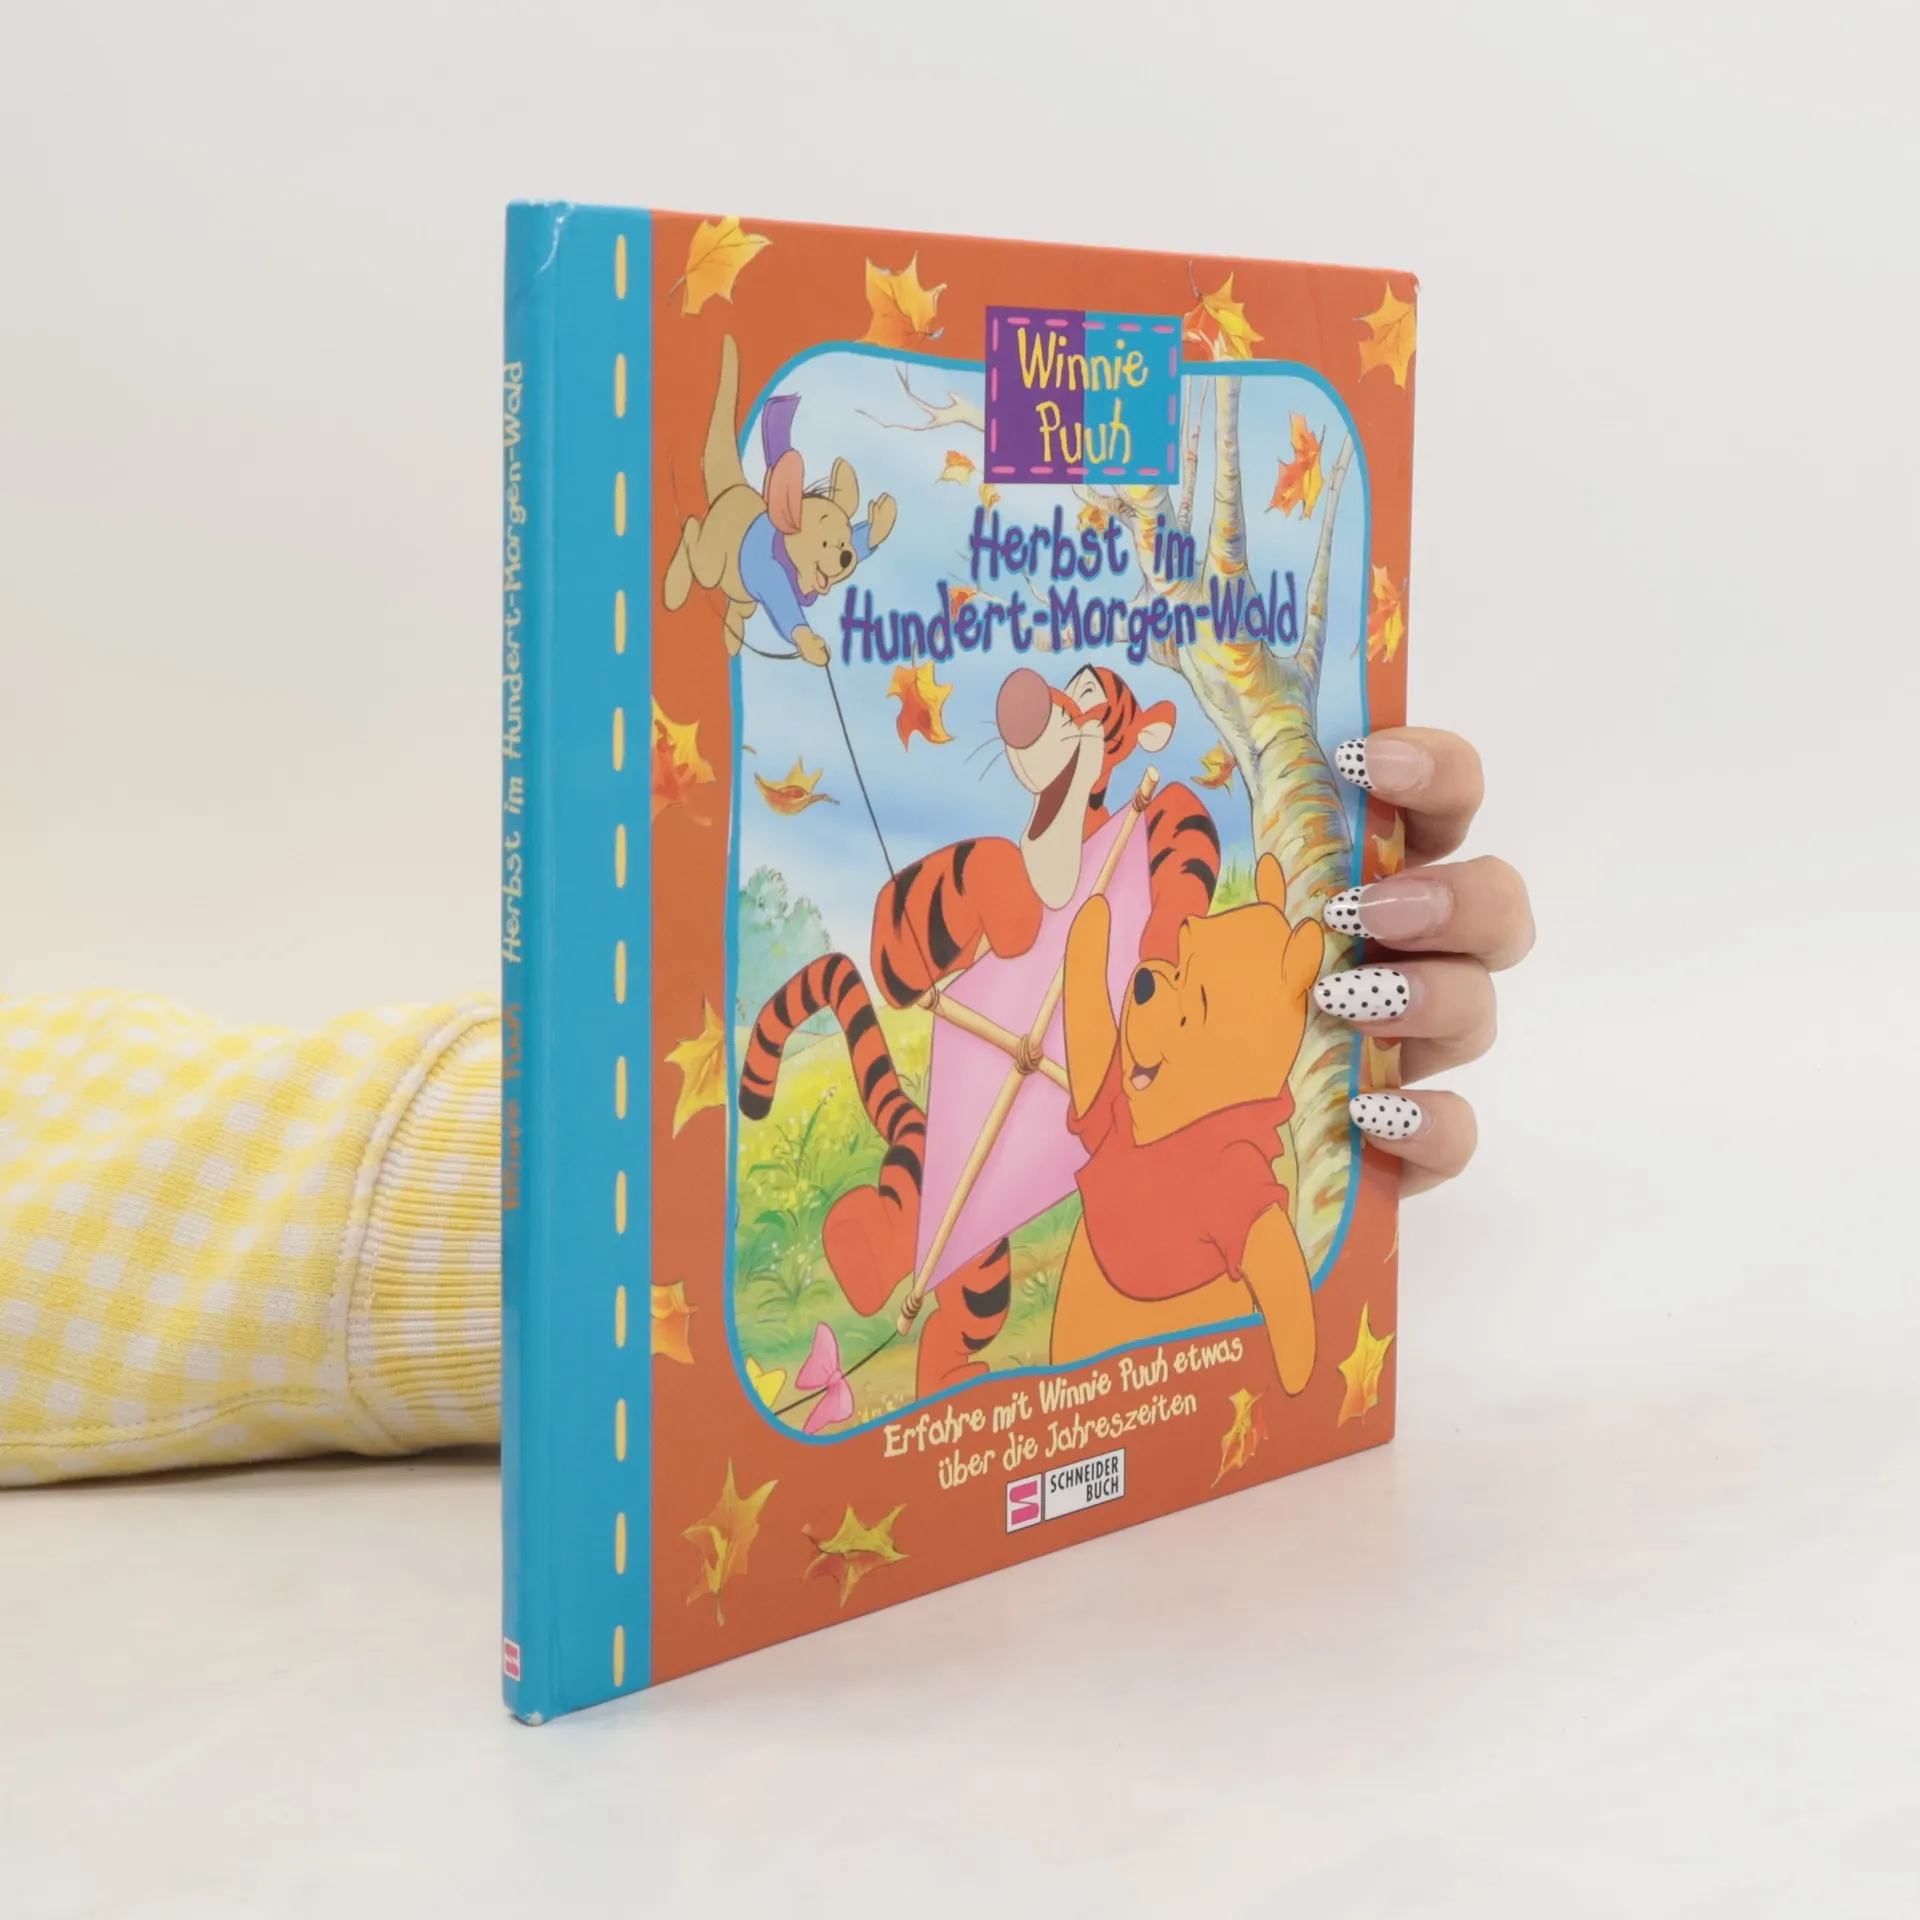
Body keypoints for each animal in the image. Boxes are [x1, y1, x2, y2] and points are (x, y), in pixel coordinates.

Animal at [662, 335, 895, 663]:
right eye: (825, 543)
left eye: (845, 541)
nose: (846, 557)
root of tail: (739, 490)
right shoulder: (771, 574)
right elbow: (785, 610)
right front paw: (808, 643)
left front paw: (880, 523)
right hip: (715, 554)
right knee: (696, 534)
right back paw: (674, 588)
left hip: (740, 590)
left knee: (741, 605)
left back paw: (732, 633)